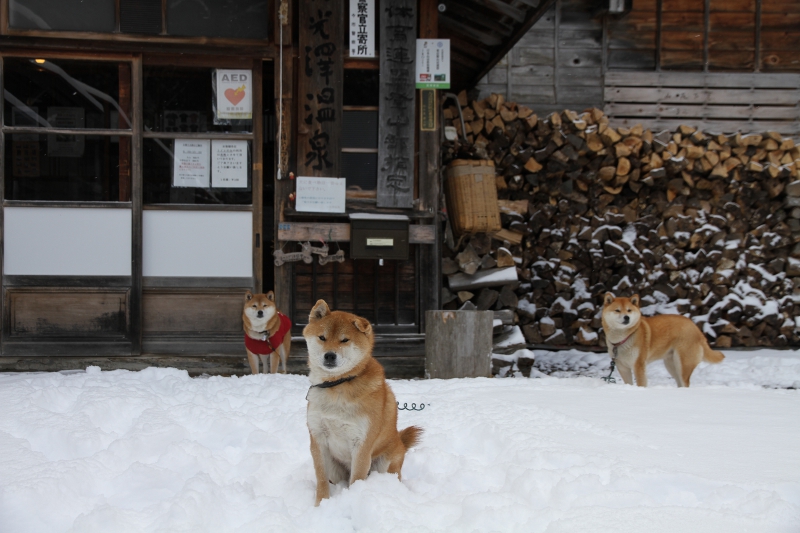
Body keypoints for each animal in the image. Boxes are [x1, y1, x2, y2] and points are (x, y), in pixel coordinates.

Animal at [302, 302, 424, 504]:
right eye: (322, 337)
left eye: (344, 340)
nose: (329, 356)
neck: (338, 384)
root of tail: (400, 442)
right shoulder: (318, 438)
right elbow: (321, 478)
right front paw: (321, 503)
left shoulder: (361, 443)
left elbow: (357, 478)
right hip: (336, 470)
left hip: (384, 464)